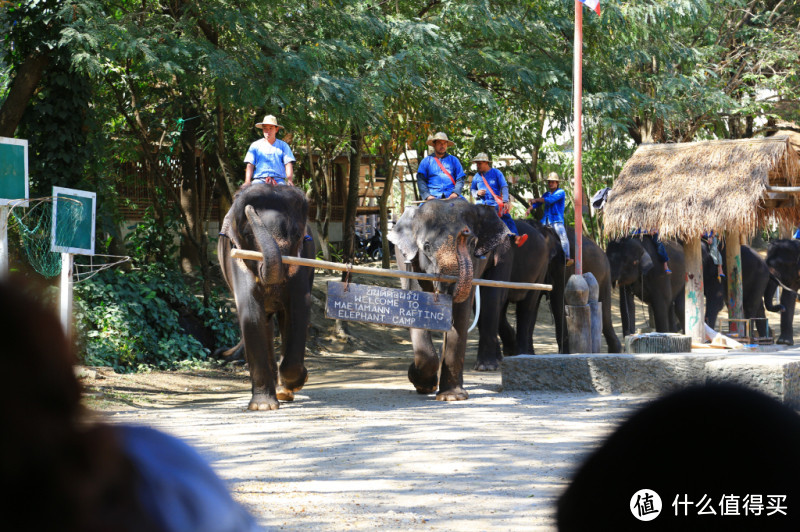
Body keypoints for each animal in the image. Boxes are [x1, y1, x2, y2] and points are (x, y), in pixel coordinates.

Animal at [220, 184, 318, 412]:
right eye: (247, 234)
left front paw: (299, 380)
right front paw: (263, 406)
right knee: (265, 321)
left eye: (297, 233)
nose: (249, 208)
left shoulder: (301, 262)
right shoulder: (236, 258)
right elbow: (250, 313)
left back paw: (284, 391)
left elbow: (299, 309)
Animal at [390, 198, 512, 400]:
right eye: (426, 247)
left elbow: (461, 315)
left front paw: (452, 397)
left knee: (491, 299)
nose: (465, 232)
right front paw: (425, 384)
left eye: (472, 243)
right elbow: (418, 309)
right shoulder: (413, 264)